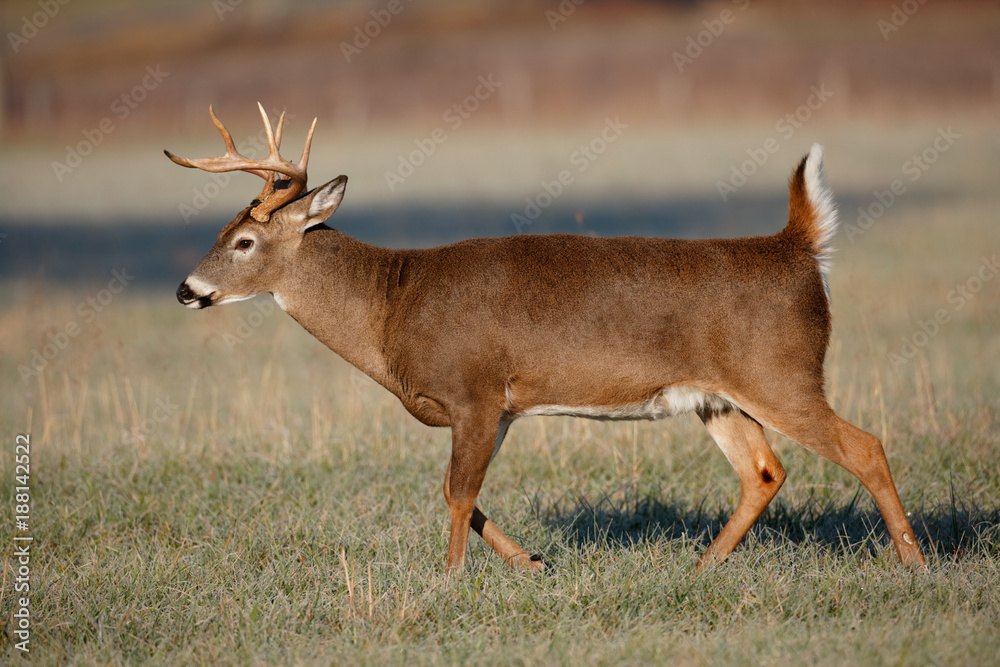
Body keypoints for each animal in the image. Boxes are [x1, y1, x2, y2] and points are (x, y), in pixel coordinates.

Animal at [168, 104, 927, 575]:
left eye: (243, 241)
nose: (185, 289)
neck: (393, 306)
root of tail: (797, 247)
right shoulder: (499, 407)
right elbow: (461, 495)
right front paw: (533, 561)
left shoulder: (475, 390)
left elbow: (456, 493)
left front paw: (450, 578)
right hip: (720, 396)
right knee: (764, 471)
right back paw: (704, 563)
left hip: (782, 372)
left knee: (864, 445)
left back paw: (915, 563)